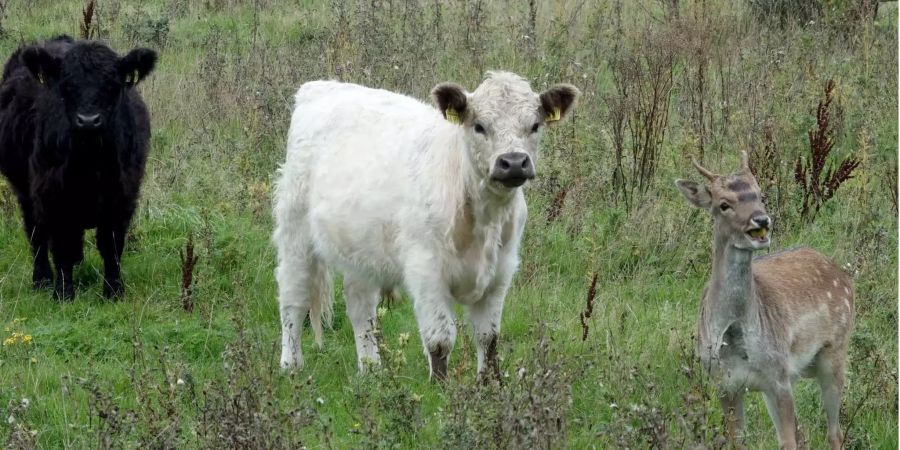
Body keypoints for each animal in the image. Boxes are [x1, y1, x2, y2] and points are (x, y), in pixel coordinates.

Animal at [0, 37, 158, 300]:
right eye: (66, 85)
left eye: (112, 84)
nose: (88, 120)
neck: (90, 163)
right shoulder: (52, 195)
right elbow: (62, 246)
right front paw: (63, 294)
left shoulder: (123, 196)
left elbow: (111, 246)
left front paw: (114, 292)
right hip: (24, 189)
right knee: (36, 234)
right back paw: (42, 280)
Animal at [272, 71, 576, 380]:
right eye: (479, 126)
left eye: (535, 125)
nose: (513, 162)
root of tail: (320, 86)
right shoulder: (426, 271)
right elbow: (440, 340)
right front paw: (441, 389)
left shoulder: (500, 272)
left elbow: (488, 338)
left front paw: (488, 385)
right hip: (295, 233)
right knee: (293, 298)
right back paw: (290, 365)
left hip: (361, 250)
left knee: (360, 307)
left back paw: (371, 370)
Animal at [680, 153, 856, 448]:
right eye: (723, 204)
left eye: (760, 194)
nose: (761, 221)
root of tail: (842, 273)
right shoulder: (723, 384)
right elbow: (738, 441)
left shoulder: (778, 377)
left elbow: (787, 442)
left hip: (834, 353)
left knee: (834, 432)